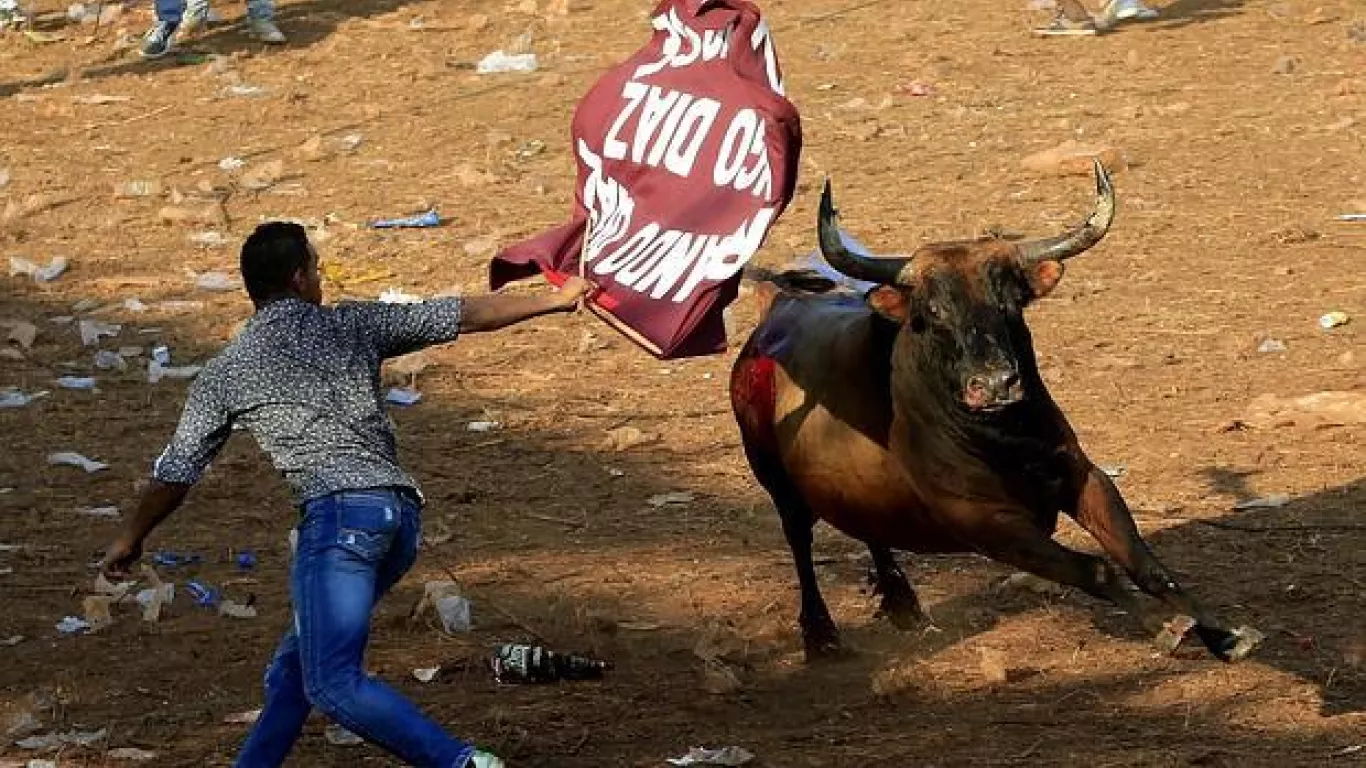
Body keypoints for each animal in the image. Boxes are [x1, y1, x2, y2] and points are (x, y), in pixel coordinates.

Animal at [737, 162, 1256, 664]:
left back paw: (902, 602)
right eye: (931, 311)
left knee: (869, 528)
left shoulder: (1083, 477)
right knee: (799, 540)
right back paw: (822, 636)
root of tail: (775, 309)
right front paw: (1166, 626)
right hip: (775, 479)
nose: (993, 385)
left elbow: (1144, 561)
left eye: (1010, 302)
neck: (1003, 438)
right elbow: (1095, 568)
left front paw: (1226, 635)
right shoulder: (990, 526)